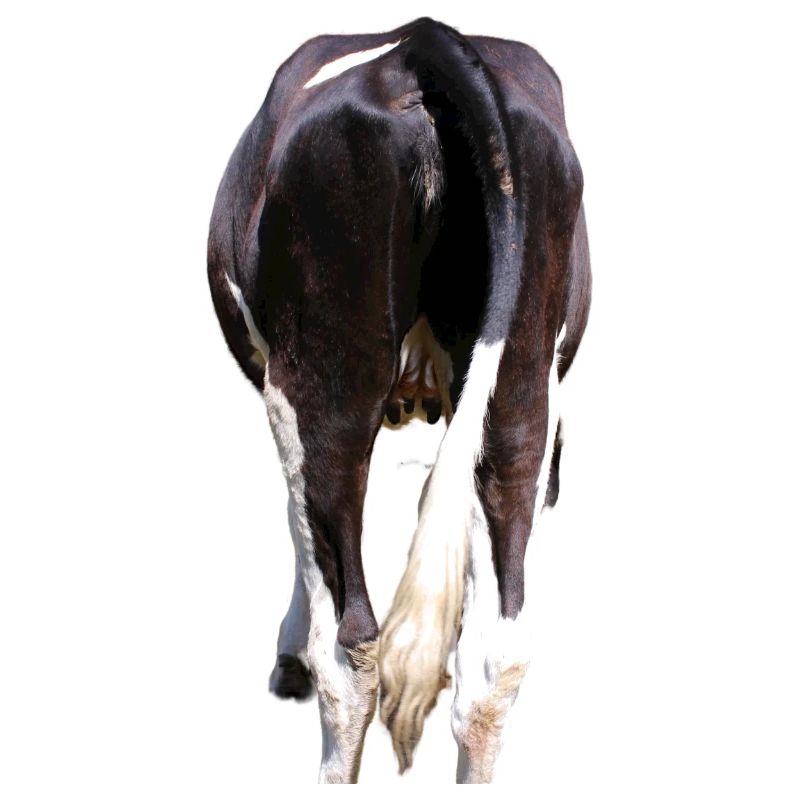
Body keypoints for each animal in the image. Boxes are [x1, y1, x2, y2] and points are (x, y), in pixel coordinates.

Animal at [207, 16, 591, 783]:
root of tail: (423, 41)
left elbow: (295, 523)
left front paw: (287, 650)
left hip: (323, 383)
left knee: (351, 648)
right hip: (524, 388)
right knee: (497, 658)